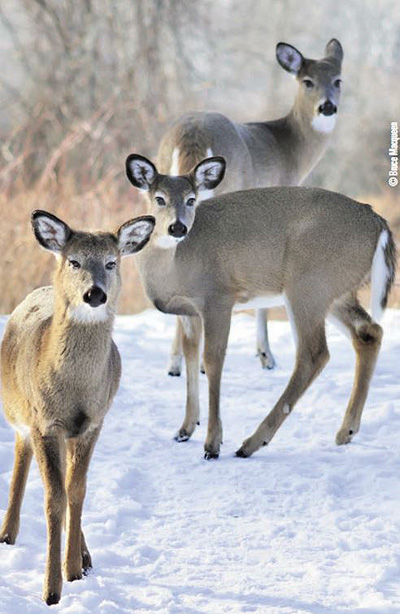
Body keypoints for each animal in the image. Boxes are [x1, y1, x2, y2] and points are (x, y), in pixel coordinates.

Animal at [0, 212, 155, 608]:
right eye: (74, 261)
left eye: (112, 262)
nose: (94, 293)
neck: (74, 391)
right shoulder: (45, 423)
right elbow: (54, 497)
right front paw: (51, 589)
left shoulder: (93, 423)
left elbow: (78, 490)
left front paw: (72, 569)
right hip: (18, 411)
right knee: (21, 455)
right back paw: (8, 533)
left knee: (69, 481)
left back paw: (84, 556)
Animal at [126, 154, 396, 462]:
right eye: (159, 198)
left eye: (191, 199)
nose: (178, 227)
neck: (172, 267)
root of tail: (378, 223)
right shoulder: (189, 311)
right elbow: (191, 356)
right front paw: (185, 429)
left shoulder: (218, 298)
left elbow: (212, 360)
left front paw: (212, 444)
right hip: (336, 292)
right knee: (369, 332)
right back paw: (345, 432)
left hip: (308, 284)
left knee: (314, 353)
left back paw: (251, 442)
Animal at [157, 41, 344, 376]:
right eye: (307, 81)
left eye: (338, 80)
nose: (327, 107)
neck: (291, 149)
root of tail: (191, 134)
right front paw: (266, 356)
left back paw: (176, 363)